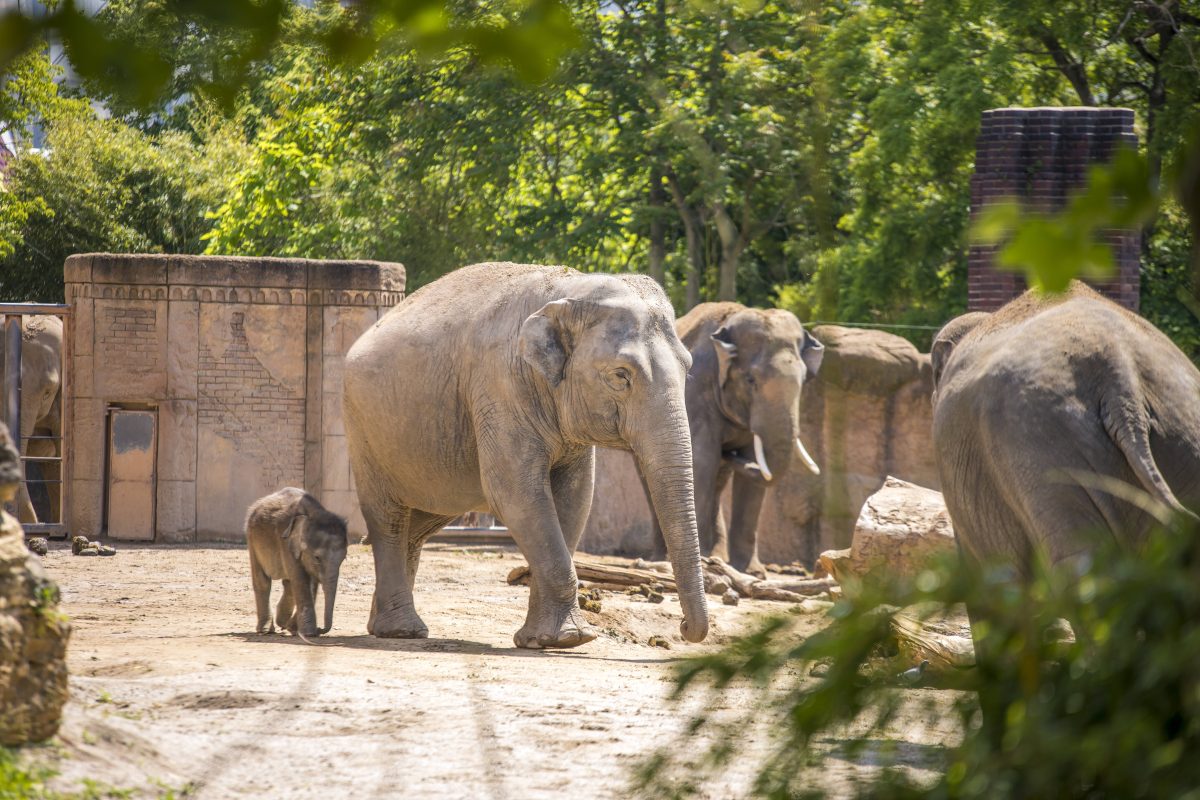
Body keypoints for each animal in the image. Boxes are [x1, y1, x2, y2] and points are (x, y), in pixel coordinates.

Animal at [246, 489, 350, 638]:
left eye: (344, 559)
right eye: (317, 557)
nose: (320, 629)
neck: (313, 514)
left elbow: (311, 584)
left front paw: (295, 629)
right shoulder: (286, 543)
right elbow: (302, 581)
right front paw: (308, 633)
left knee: (288, 584)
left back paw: (283, 623)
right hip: (251, 537)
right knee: (263, 580)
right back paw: (266, 630)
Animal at [343, 262, 705, 652]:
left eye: (688, 368)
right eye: (621, 375)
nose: (684, 628)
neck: (567, 290)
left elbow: (575, 499)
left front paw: (544, 640)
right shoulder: (499, 388)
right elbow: (517, 494)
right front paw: (571, 639)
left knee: (419, 524)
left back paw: (388, 625)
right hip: (363, 431)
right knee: (389, 519)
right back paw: (401, 631)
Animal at [648, 304, 825, 575]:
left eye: (803, 381)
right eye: (751, 380)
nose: (731, 453)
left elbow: (752, 474)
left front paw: (751, 572)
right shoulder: (696, 392)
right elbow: (702, 461)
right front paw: (703, 563)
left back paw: (715, 557)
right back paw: (663, 558)